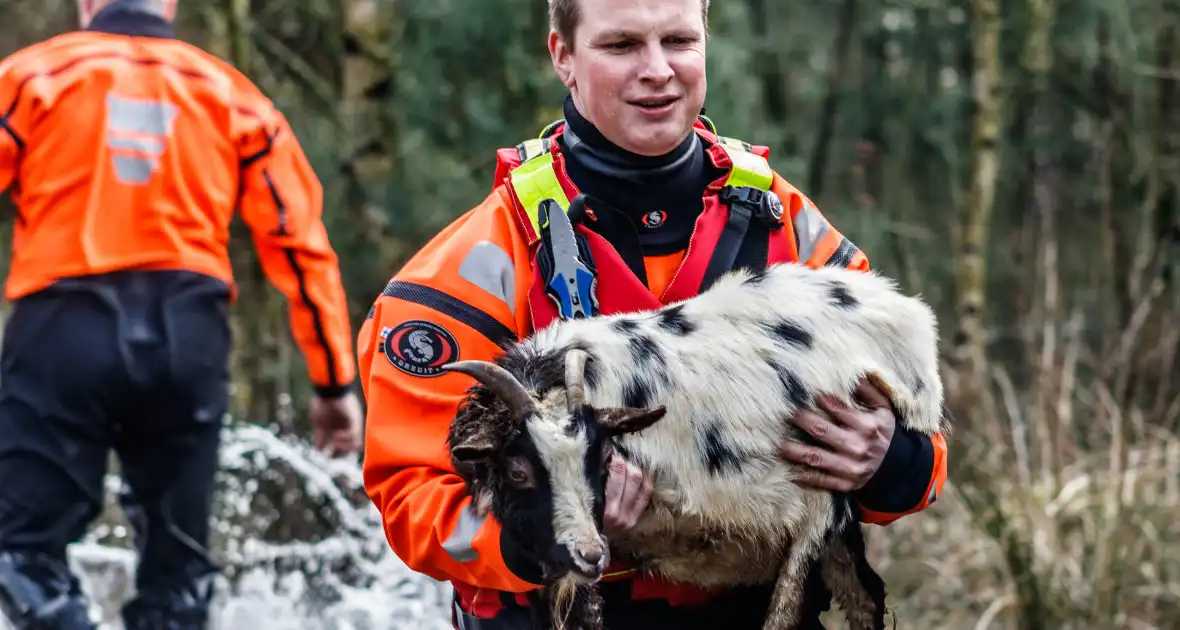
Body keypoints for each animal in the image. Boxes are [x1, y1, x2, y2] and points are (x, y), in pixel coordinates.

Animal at [443, 261, 948, 630]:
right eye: (518, 470)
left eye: (603, 460)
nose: (589, 555)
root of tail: (908, 313)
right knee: (865, 597)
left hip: (820, 499)